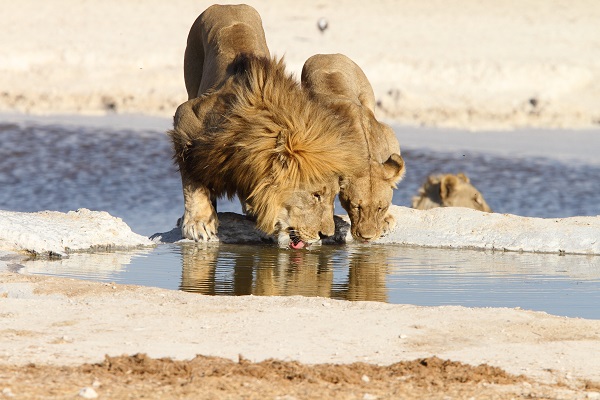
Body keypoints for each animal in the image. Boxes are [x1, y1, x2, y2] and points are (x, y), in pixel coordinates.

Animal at [166, 4, 358, 248]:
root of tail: (226, 5)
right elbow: (192, 179)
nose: (326, 235)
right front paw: (198, 222)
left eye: (333, 196)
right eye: (316, 195)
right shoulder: (187, 117)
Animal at [302, 52, 406, 241]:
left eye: (381, 207)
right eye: (356, 206)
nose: (367, 237)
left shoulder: (387, 134)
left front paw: (386, 221)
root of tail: (328, 54)